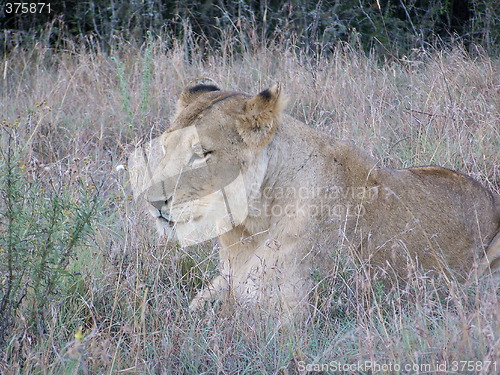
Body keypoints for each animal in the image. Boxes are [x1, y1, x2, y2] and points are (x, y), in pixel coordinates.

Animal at [130, 83, 500, 316]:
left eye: (202, 153)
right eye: (166, 147)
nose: (152, 202)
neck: (251, 226)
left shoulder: (290, 317)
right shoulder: (222, 287)